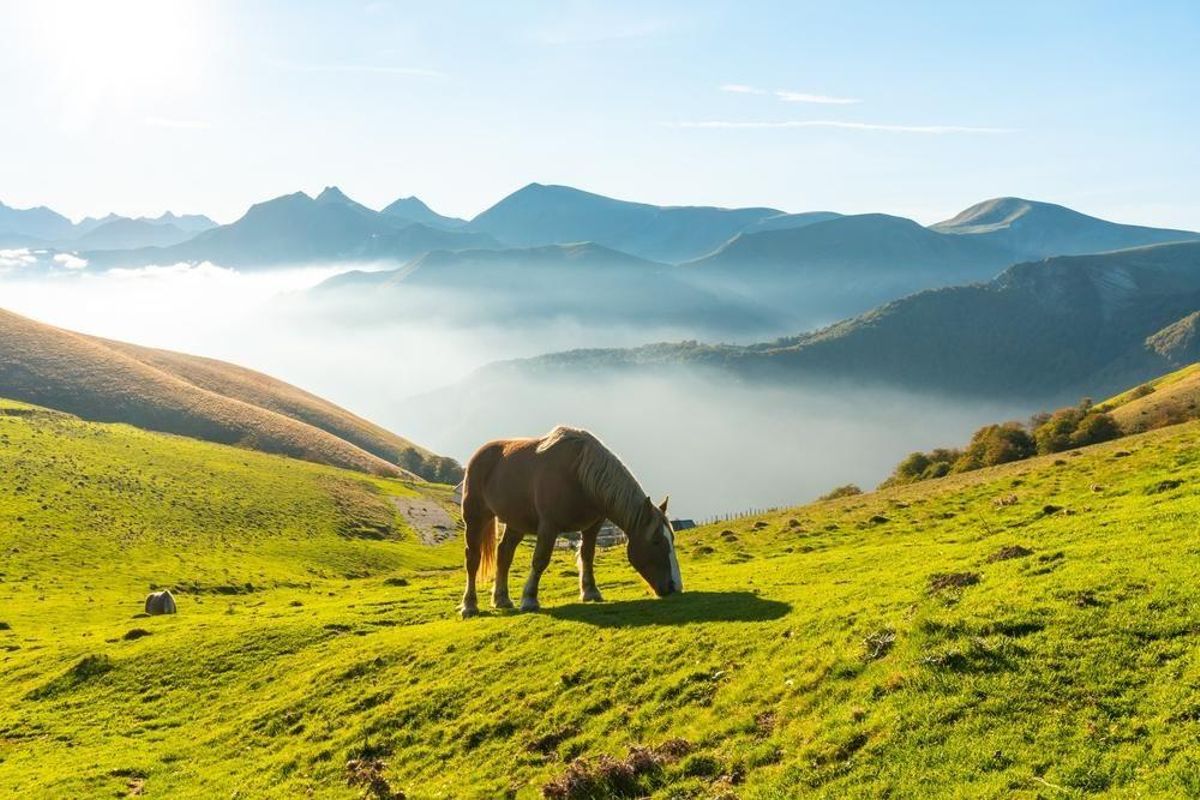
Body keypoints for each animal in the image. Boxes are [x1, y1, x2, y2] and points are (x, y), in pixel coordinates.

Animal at [458, 424, 686, 618]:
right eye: (655, 541)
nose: (675, 587)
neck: (579, 475)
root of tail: (479, 455)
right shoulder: (549, 526)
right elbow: (540, 560)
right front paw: (529, 599)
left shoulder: (593, 526)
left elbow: (587, 556)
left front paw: (591, 592)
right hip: (475, 517)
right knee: (473, 558)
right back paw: (470, 605)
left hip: (516, 523)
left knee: (504, 554)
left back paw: (502, 599)